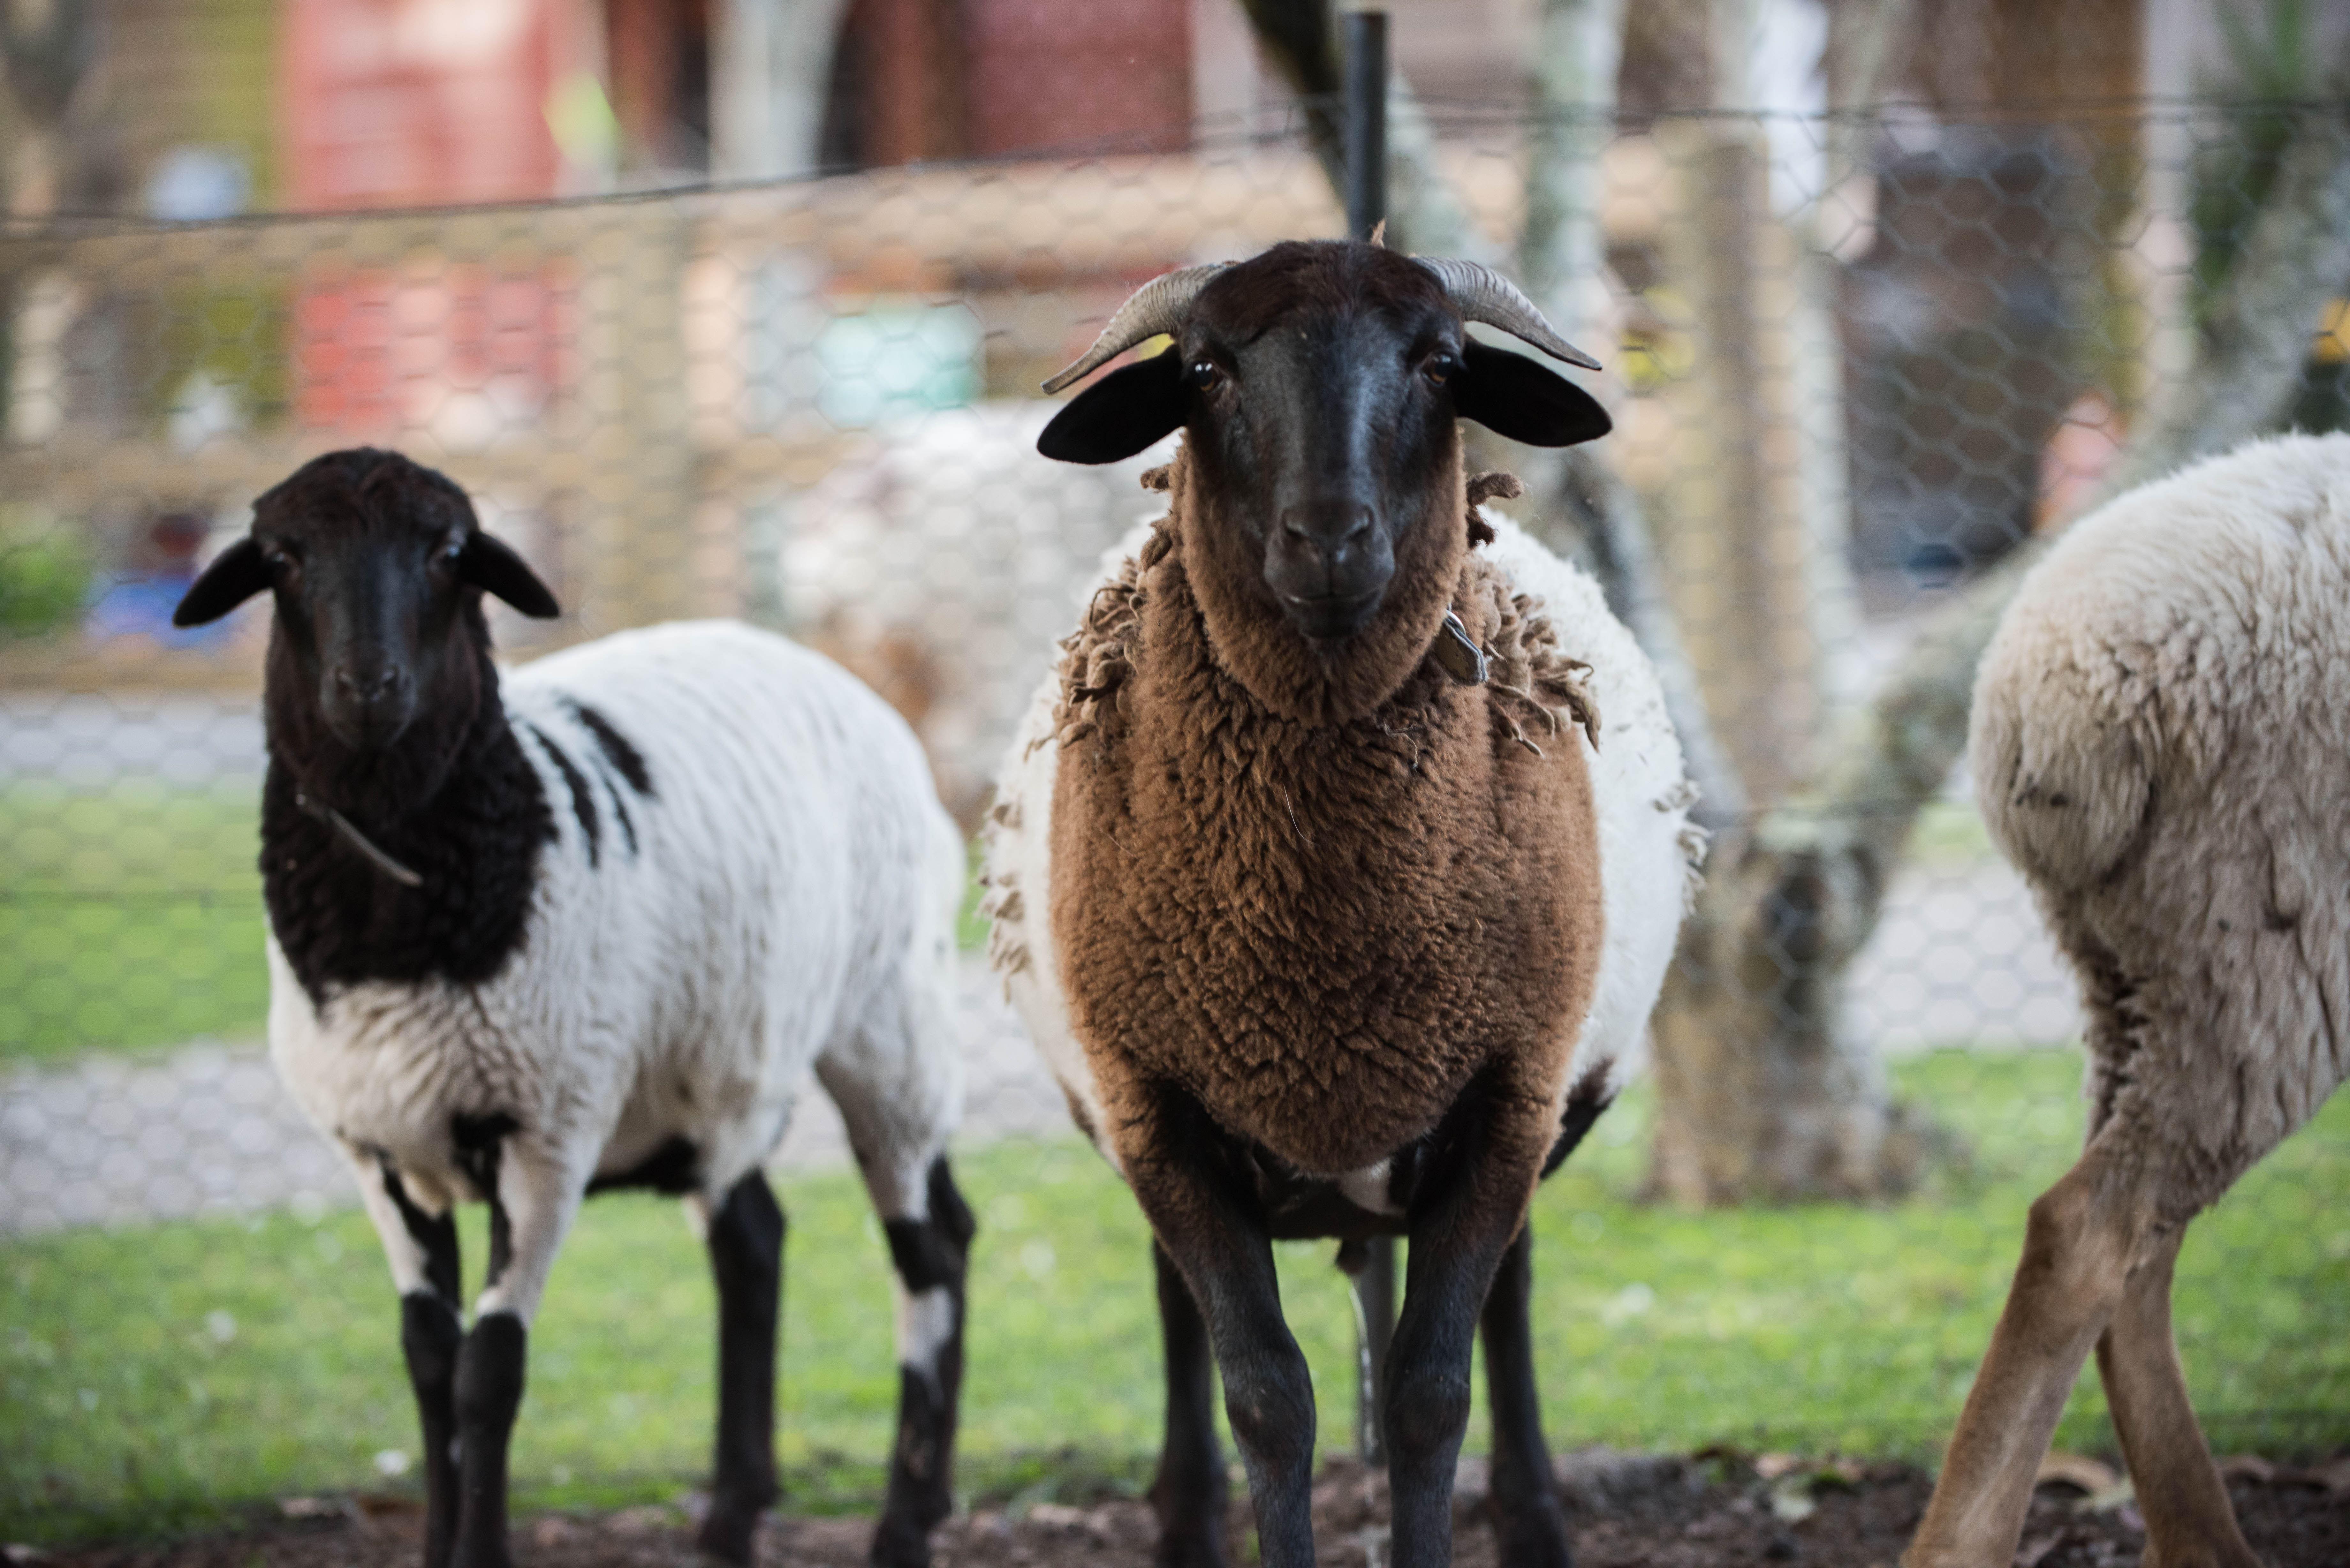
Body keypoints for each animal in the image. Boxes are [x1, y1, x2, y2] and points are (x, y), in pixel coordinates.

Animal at [170, 447, 968, 1568]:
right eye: (281, 557)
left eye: (450, 551)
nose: (368, 689)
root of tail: (812, 659)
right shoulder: (375, 1143)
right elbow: (427, 1358)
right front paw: (437, 1545)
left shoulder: (547, 1126)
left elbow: (489, 1369)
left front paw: (480, 1552)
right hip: (717, 1068)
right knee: (757, 1242)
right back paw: (736, 1514)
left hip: (886, 1021)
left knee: (929, 1253)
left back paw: (902, 1521)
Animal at [982, 236, 1701, 1568]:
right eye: (1204, 370)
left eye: (1444, 362)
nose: (1329, 540)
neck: (1321, 960)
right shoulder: (1156, 1107)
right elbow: (1267, 1396)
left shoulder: (1508, 1096)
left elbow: (1429, 1392)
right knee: (1177, 1311)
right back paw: (1184, 1527)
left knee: (1510, 1302)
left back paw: (1535, 1523)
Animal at [1908, 433, 2350, 1568]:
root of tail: (2042, 695)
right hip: (2269, 952)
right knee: (2085, 1233)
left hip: (2142, 975)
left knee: (2130, 1243)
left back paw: (2201, 1541)